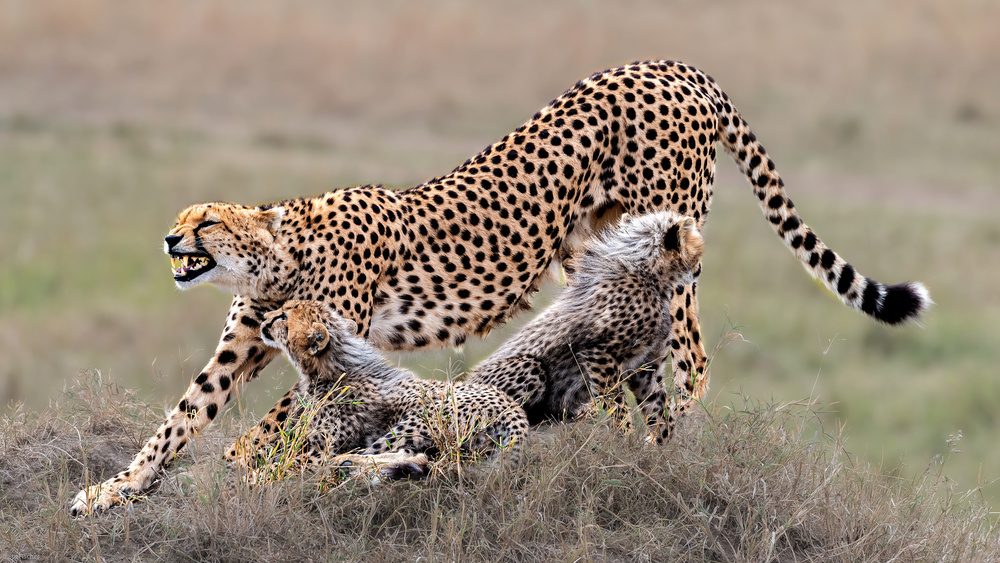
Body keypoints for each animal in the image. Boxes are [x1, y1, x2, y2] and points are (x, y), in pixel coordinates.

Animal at [231, 299, 526, 480]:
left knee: (410, 455)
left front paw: (252, 478)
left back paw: (348, 464)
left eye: (283, 316)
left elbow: (283, 466)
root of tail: (513, 408)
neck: (331, 366)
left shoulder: (317, 450)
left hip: (411, 425)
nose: (263, 317)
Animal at [467, 210, 703, 442]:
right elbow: (616, 405)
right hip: (528, 367)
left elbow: (660, 412)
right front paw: (624, 440)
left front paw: (660, 446)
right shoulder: (600, 354)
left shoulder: (645, 368)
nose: (699, 268)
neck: (648, 276)